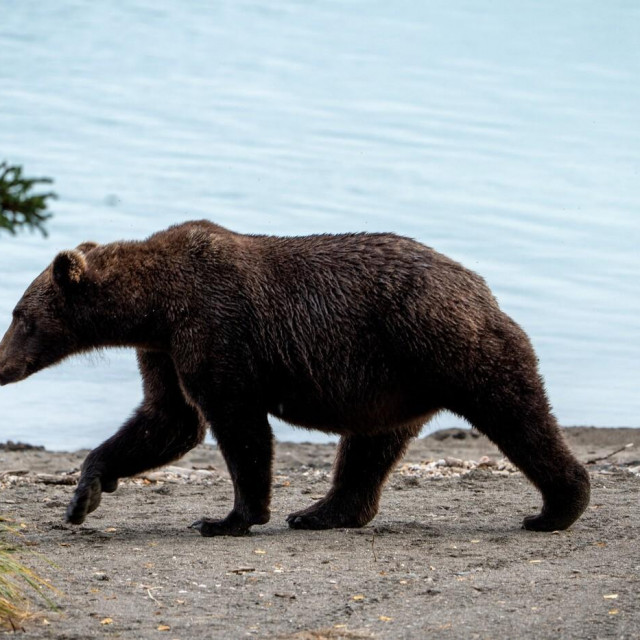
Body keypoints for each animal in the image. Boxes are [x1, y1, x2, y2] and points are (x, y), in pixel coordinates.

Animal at [0, 220, 592, 536]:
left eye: (21, 317)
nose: (2, 366)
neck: (155, 306)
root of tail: (480, 287)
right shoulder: (164, 350)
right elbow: (167, 420)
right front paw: (85, 494)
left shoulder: (215, 328)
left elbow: (236, 423)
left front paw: (230, 517)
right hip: (391, 382)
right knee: (370, 448)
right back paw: (321, 512)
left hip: (444, 342)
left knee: (516, 410)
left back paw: (556, 507)